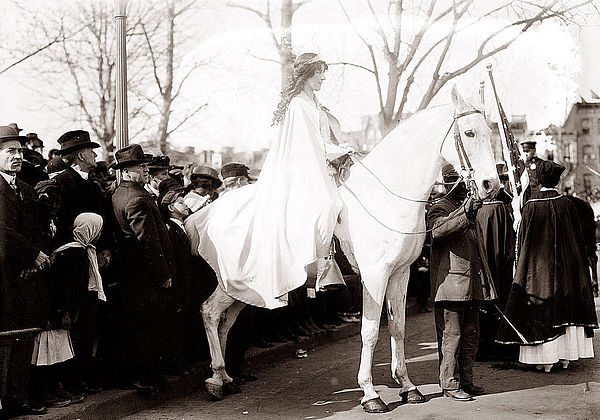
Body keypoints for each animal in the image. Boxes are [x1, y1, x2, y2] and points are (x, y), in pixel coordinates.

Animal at [185, 84, 500, 410]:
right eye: (469, 133)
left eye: (490, 132)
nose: (491, 185)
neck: (386, 197)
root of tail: (205, 213)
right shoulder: (374, 276)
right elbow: (370, 331)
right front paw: (371, 394)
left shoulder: (400, 274)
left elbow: (398, 327)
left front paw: (408, 386)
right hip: (234, 283)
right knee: (209, 313)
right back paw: (216, 380)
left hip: (245, 288)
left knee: (225, 321)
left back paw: (224, 377)